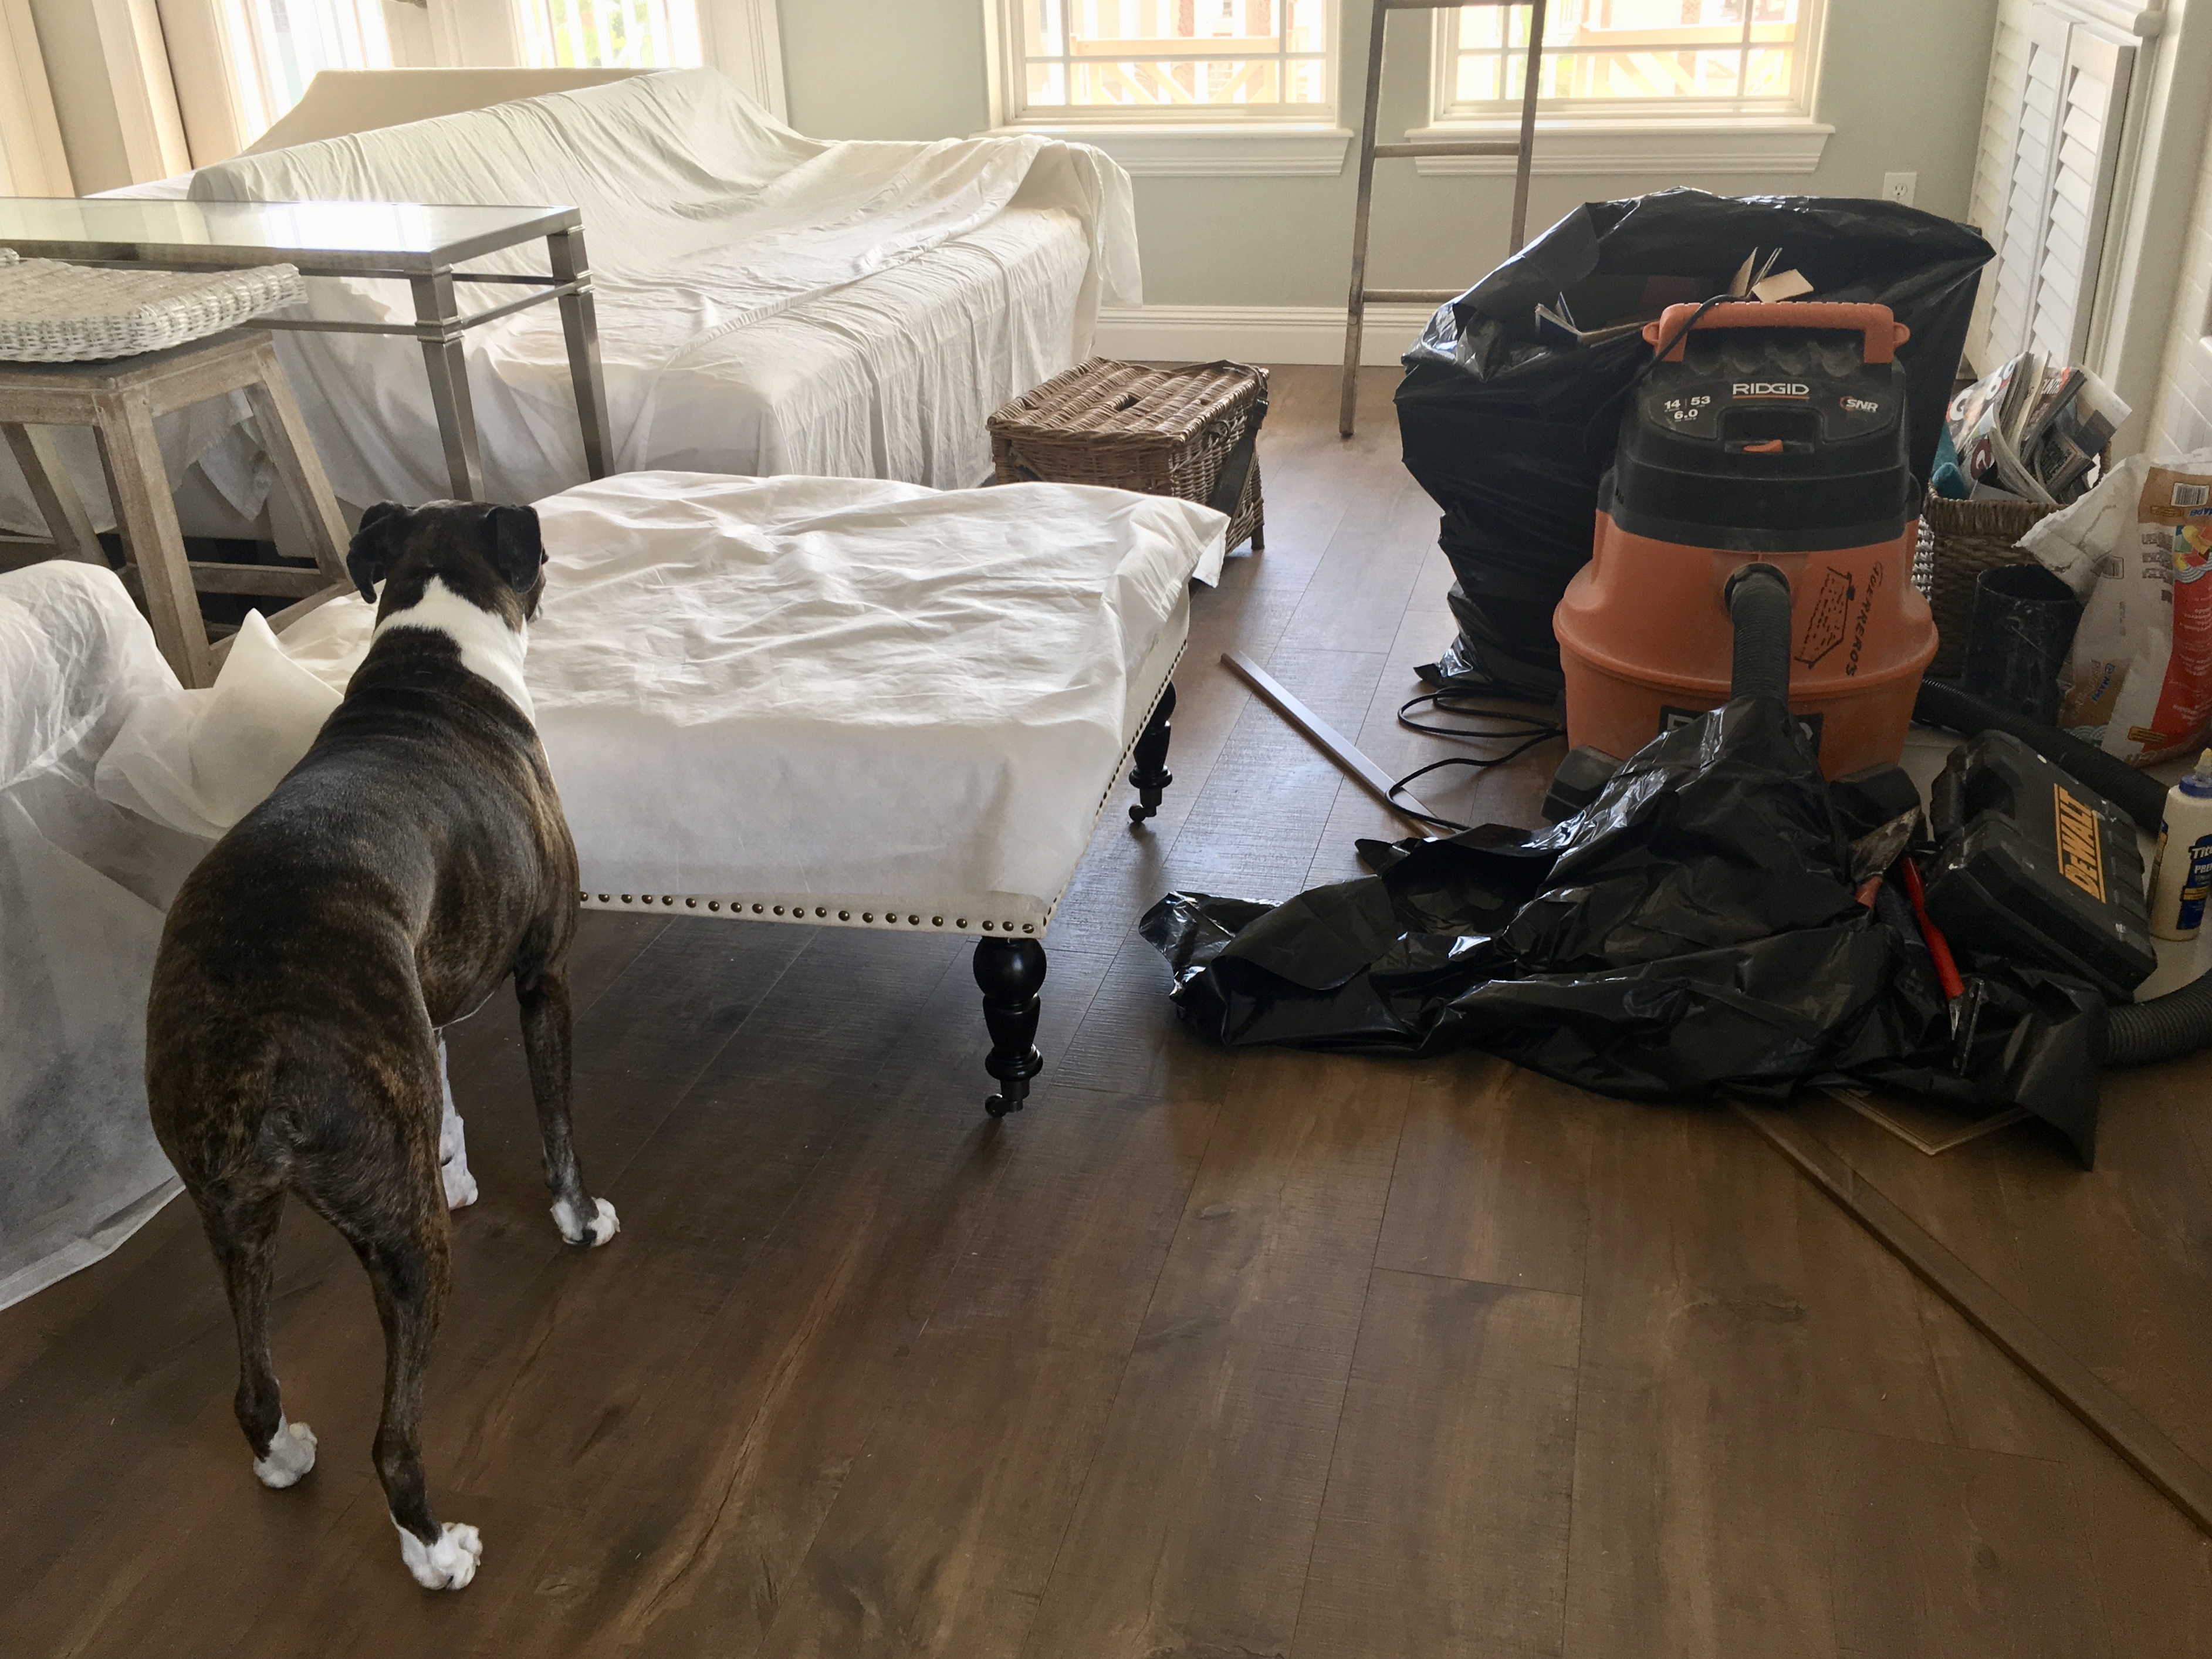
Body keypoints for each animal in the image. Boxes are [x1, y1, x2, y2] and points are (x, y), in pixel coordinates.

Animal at [146, 500, 617, 1592]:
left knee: (253, 1383)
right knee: (392, 1439)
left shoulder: (425, 1000)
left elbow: (442, 1095)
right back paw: (435, 1550)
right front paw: (578, 1219)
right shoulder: (543, 975)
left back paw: (281, 1453)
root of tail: (251, 1044)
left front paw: (456, 1169)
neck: (432, 655)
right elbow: (557, 1124)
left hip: (234, 1220)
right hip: (405, 1252)